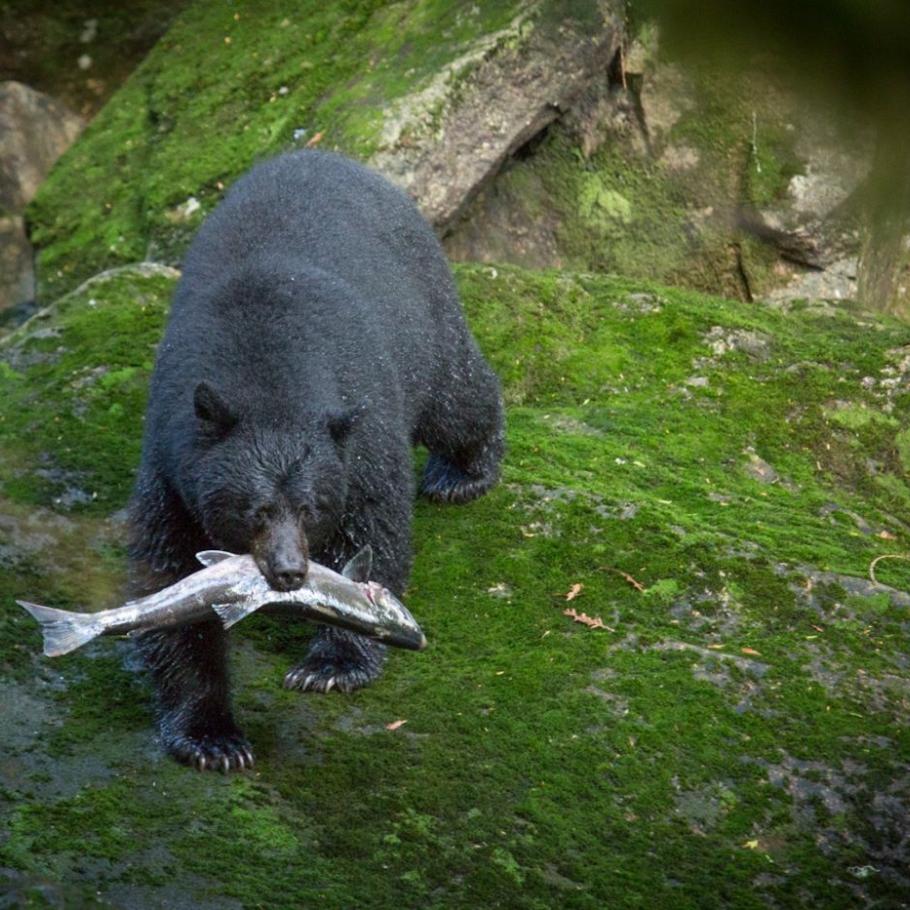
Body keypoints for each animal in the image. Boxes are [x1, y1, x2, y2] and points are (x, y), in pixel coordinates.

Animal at [128, 150, 506, 768]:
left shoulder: (361, 433)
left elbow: (373, 534)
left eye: (309, 509)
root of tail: (336, 157)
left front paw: (332, 664)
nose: (289, 572)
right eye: (255, 510)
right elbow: (168, 579)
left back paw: (463, 473)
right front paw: (211, 735)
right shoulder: (171, 463)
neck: (268, 377)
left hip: (423, 312)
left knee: (457, 395)